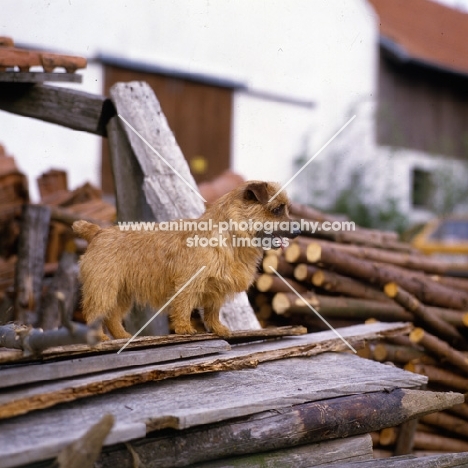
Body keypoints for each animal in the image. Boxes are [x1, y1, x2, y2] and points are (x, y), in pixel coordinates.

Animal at [73, 180, 300, 340]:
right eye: (277, 209)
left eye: (286, 209)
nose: (298, 230)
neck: (229, 237)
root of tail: (98, 232)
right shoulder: (189, 283)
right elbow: (184, 306)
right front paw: (184, 328)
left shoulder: (216, 290)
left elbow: (212, 311)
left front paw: (218, 329)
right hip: (104, 288)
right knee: (95, 313)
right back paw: (100, 337)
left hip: (122, 293)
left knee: (112, 316)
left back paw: (121, 336)